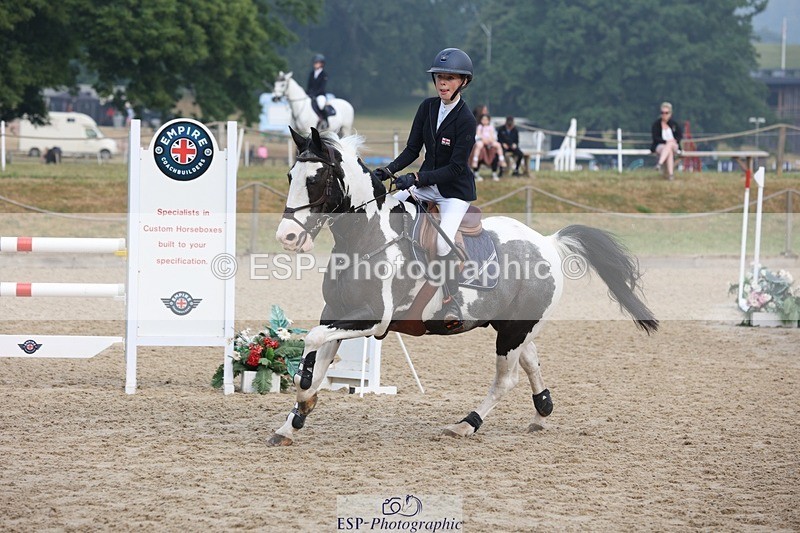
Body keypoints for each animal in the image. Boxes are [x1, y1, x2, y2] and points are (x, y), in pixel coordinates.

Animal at [270, 127, 658, 446]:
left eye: (316, 179)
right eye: (290, 175)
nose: (286, 237)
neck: (365, 237)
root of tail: (548, 241)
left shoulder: (372, 319)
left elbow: (312, 346)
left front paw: (304, 397)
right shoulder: (336, 313)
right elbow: (318, 358)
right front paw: (293, 422)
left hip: (514, 330)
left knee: (506, 380)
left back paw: (466, 424)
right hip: (514, 325)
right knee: (531, 361)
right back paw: (541, 413)